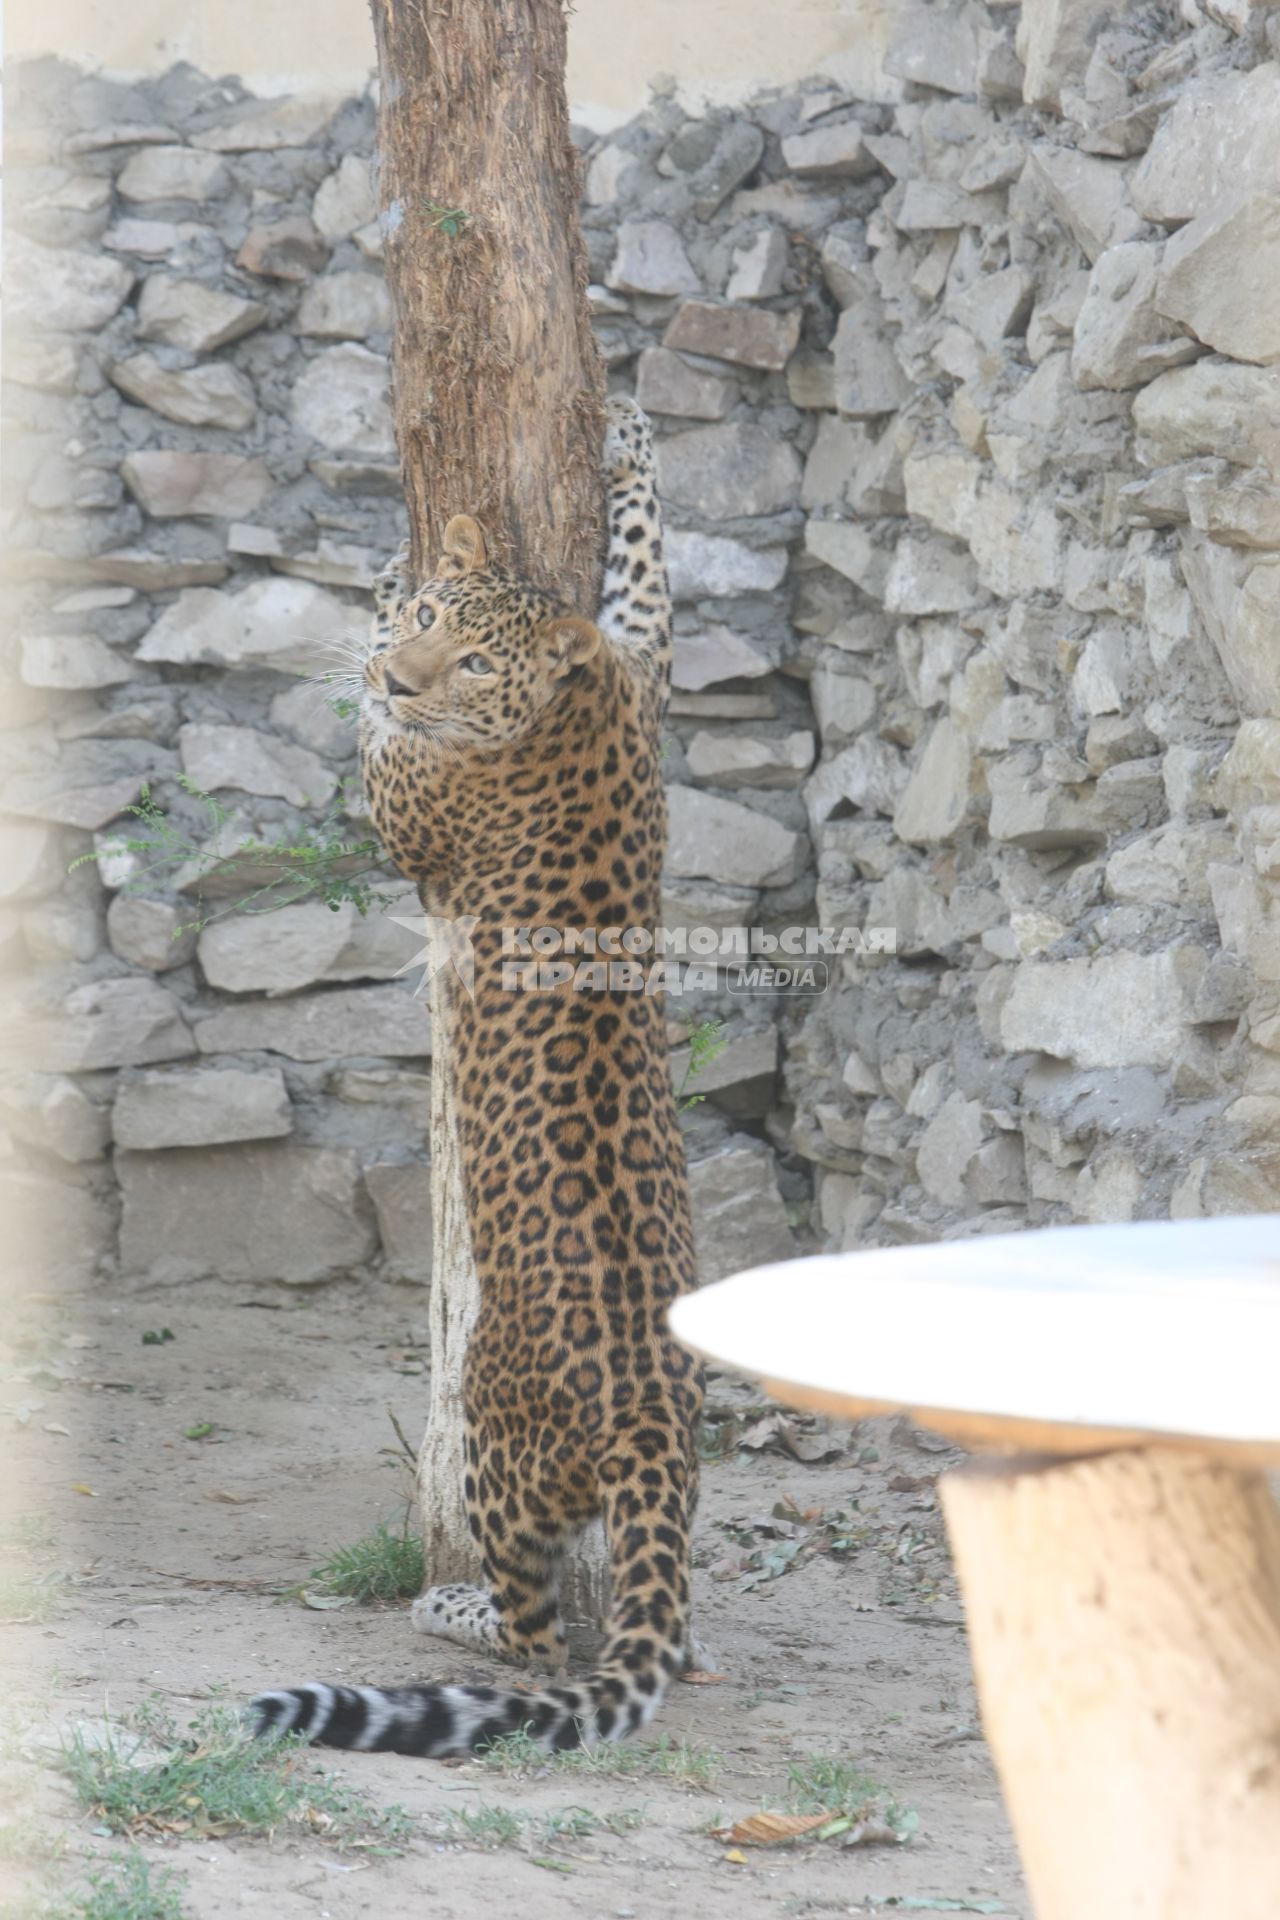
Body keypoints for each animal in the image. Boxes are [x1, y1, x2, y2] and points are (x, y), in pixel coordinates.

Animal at [249, 397, 706, 1758]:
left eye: (472, 666)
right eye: (440, 628)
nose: (408, 671)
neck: (570, 702)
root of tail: (646, 1415)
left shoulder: (408, 800)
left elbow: (371, 751)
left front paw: (370, 603)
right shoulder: (640, 662)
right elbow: (646, 573)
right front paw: (628, 440)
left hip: (494, 1444)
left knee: (542, 1633)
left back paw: (450, 1609)